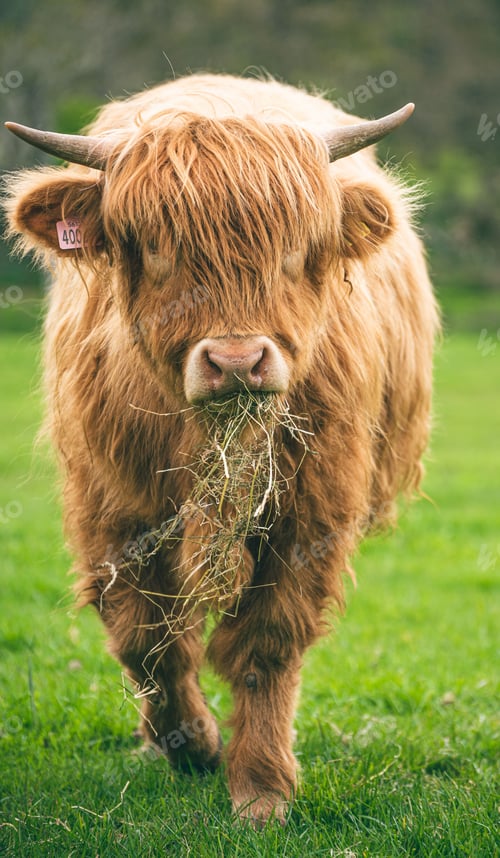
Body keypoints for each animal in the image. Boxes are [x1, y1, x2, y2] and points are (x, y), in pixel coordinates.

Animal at [4, 73, 439, 825]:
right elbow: (145, 639)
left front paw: (260, 790)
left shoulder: (309, 513)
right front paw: (192, 745)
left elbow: (266, 643)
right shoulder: (111, 510)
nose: (237, 361)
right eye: (153, 246)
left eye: (295, 248)